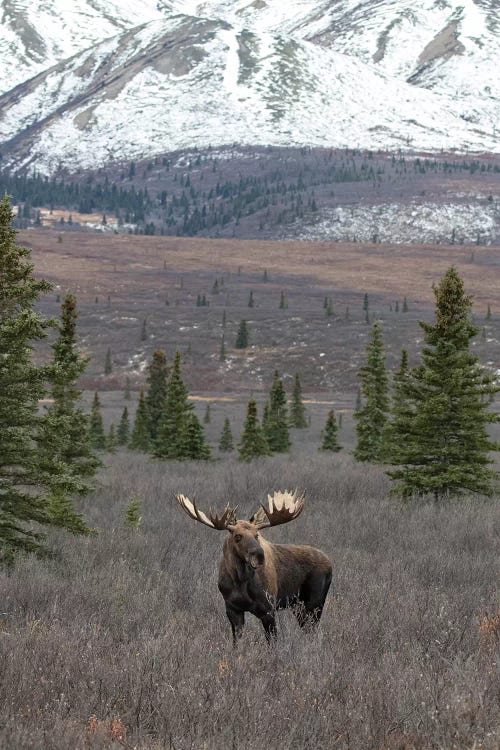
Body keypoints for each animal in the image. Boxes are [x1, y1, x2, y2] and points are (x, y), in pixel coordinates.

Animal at [176, 490, 332, 644]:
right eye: (237, 536)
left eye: (257, 535)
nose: (259, 555)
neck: (240, 581)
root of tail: (330, 563)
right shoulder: (232, 609)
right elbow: (236, 643)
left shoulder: (268, 609)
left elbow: (273, 643)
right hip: (298, 606)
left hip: (314, 603)